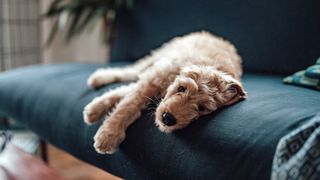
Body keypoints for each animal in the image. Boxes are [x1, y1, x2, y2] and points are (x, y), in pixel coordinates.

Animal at [83, 31, 248, 154]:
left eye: (201, 108)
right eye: (181, 88)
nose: (168, 119)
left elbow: (127, 93)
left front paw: (96, 110)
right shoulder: (156, 77)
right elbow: (128, 103)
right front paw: (108, 134)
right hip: (160, 54)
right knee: (132, 71)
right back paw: (99, 77)